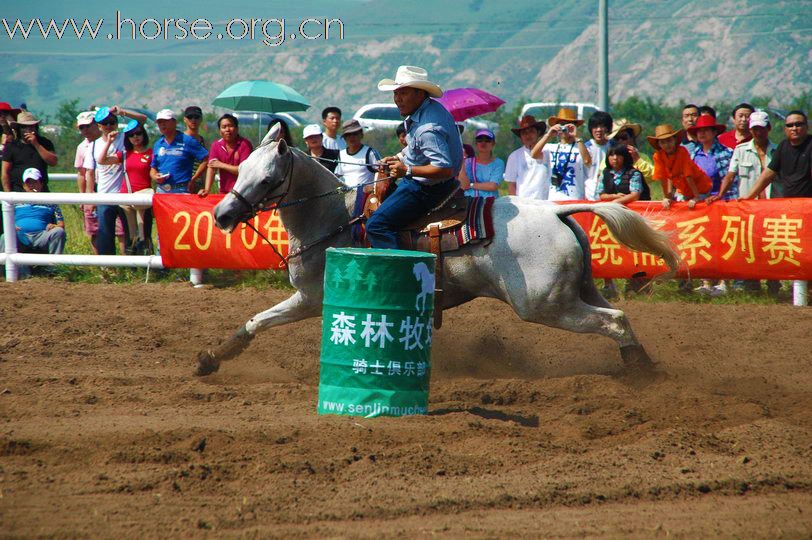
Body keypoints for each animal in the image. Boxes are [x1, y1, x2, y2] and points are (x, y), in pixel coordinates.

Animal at [198, 125, 680, 380]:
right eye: (240, 168)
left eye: (266, 179)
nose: (221, 214)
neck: (333, 217)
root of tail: (558, 212)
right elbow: (255, 321)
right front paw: (211, 358)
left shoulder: (312, 298)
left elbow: (266, 319)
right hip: (578, 291)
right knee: (616, 316)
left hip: (545, 305)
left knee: (615, 322)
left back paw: (642, 373)